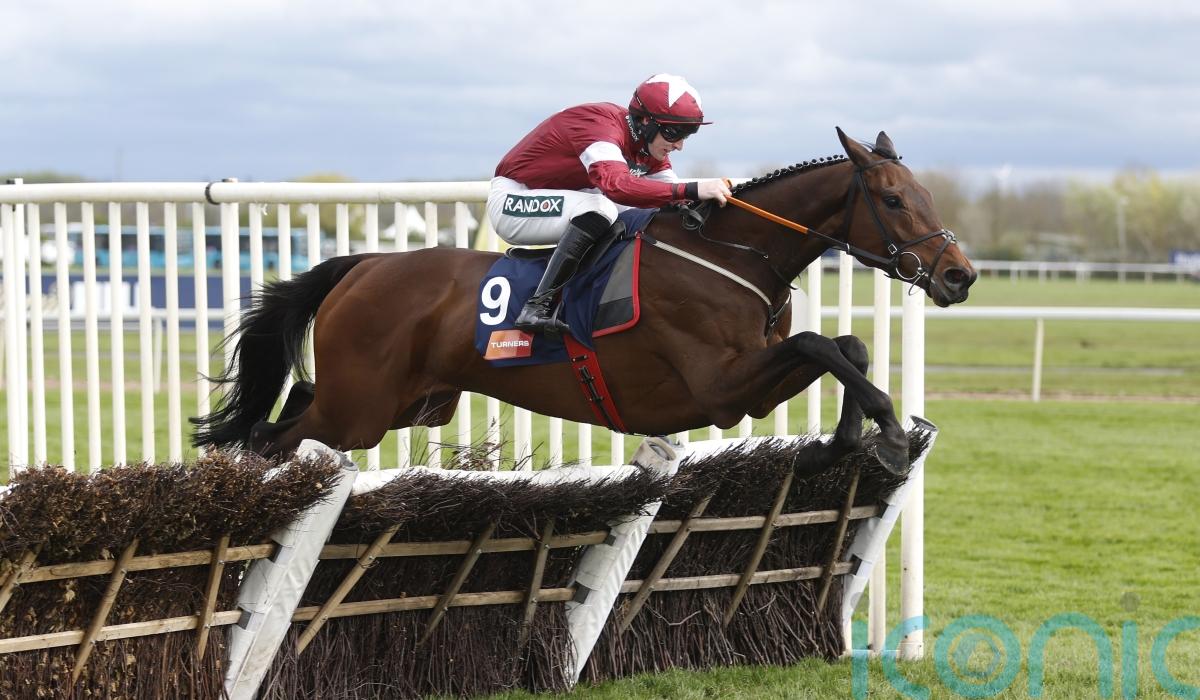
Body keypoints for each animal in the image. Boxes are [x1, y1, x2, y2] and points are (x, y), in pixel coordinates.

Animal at [191, 128, 976, 474]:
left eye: (927, 194)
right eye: (893, 199)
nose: (958, 276)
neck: (727, 251)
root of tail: (363, 266)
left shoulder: (745, 386)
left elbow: (847, 346)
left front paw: (852, 437)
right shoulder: (720, 387)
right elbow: (822, 344)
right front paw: (888, 433)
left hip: (407, 402)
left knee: (293, 408)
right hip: (361, 408)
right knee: (273, 435)